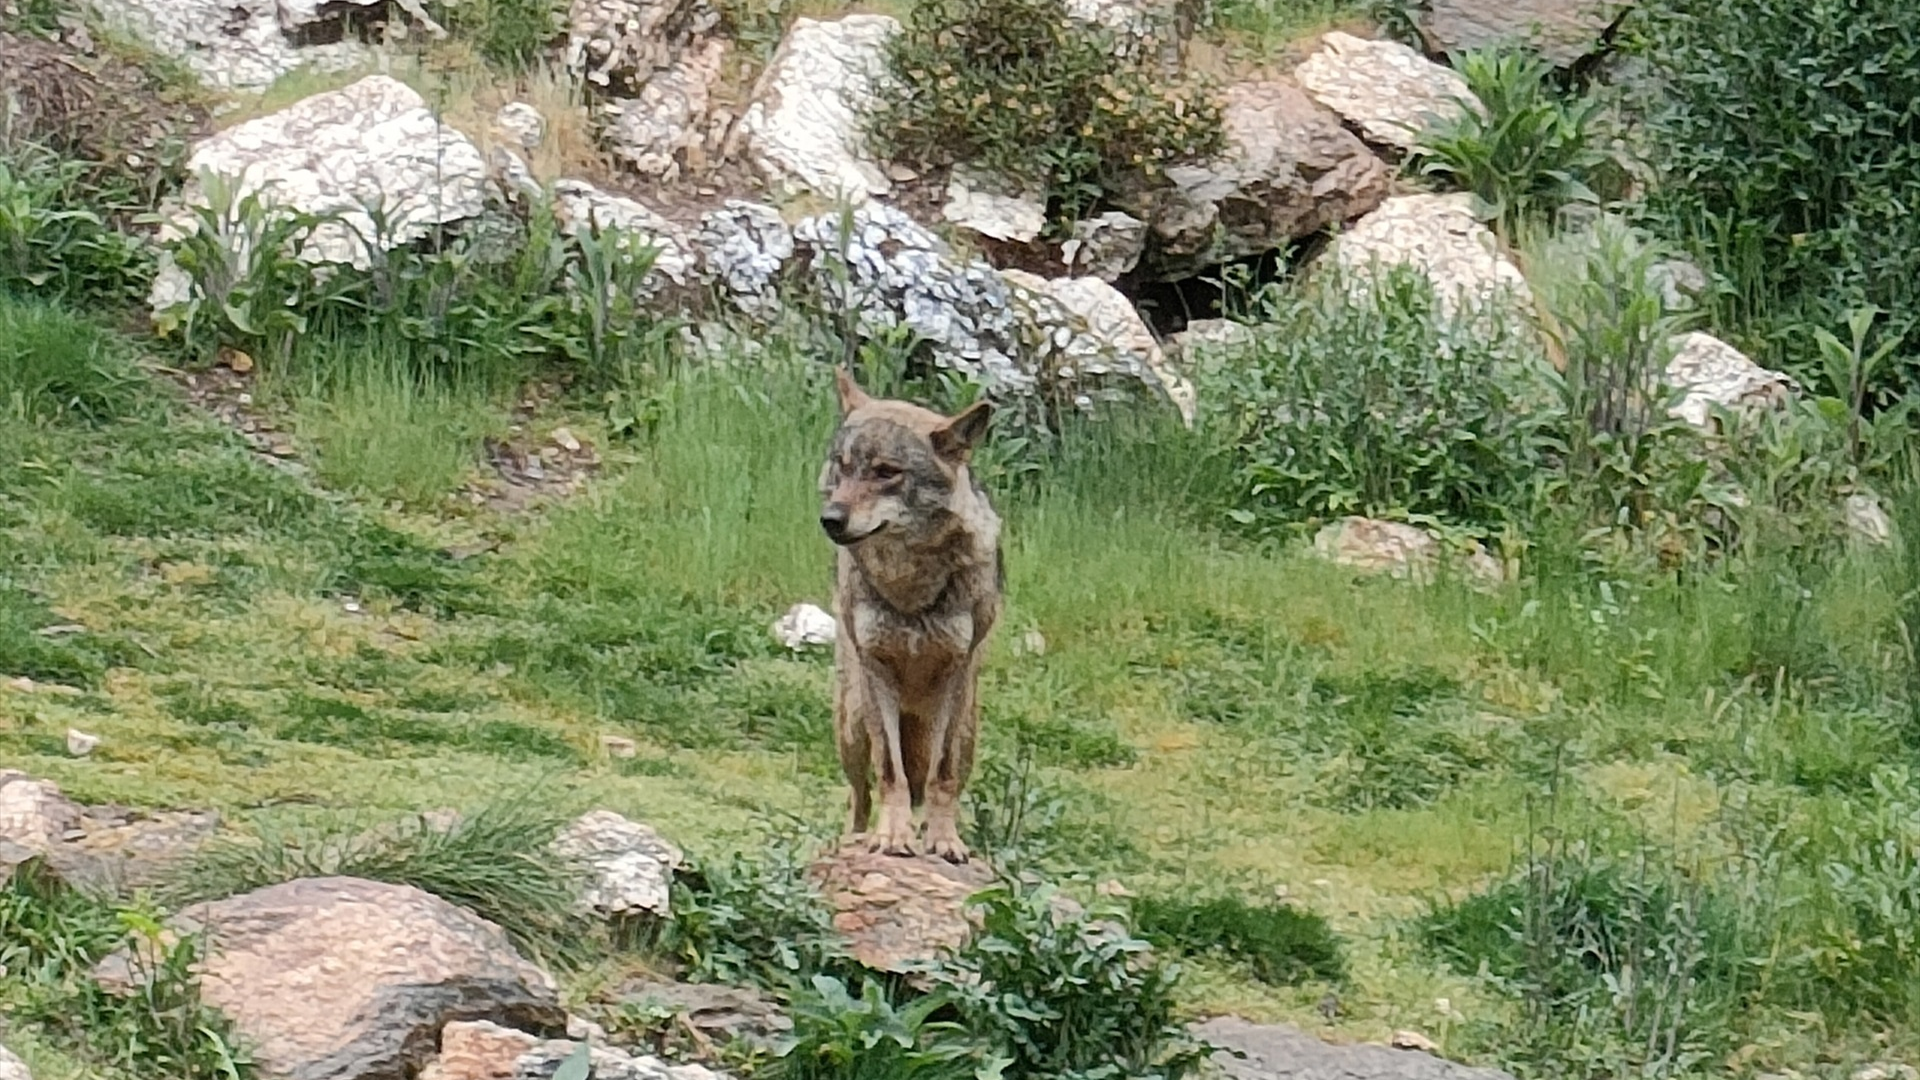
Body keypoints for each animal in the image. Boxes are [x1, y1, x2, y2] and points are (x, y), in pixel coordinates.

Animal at [817, 365, 1006, 860]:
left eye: (887, 473)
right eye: (843, 466)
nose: (830, 519)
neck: (911, 585)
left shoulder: (957, 671)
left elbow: (941, 776)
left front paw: (943, 840)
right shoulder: (875, 667)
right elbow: (890, 771)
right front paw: (891, 837)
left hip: (968, 732)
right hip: (852, 724)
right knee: (859, 795)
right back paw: (854, 838)